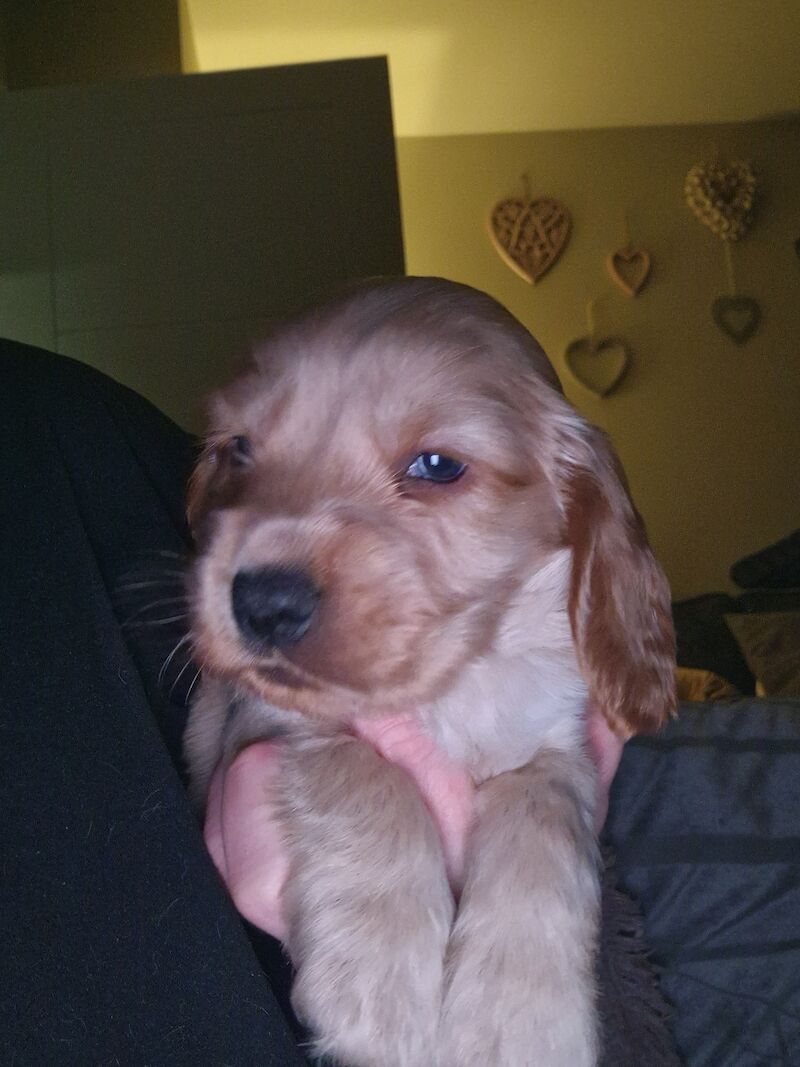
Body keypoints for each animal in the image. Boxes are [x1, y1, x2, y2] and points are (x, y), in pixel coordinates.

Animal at [183, 277, 678, 1067]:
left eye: (437, 466)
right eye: (239, 449)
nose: (263, 604)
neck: (455, 689)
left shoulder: (556, 742)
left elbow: (542, 825)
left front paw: (520, 1015)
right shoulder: (268, 722)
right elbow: (364, 773)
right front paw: (376, 983)